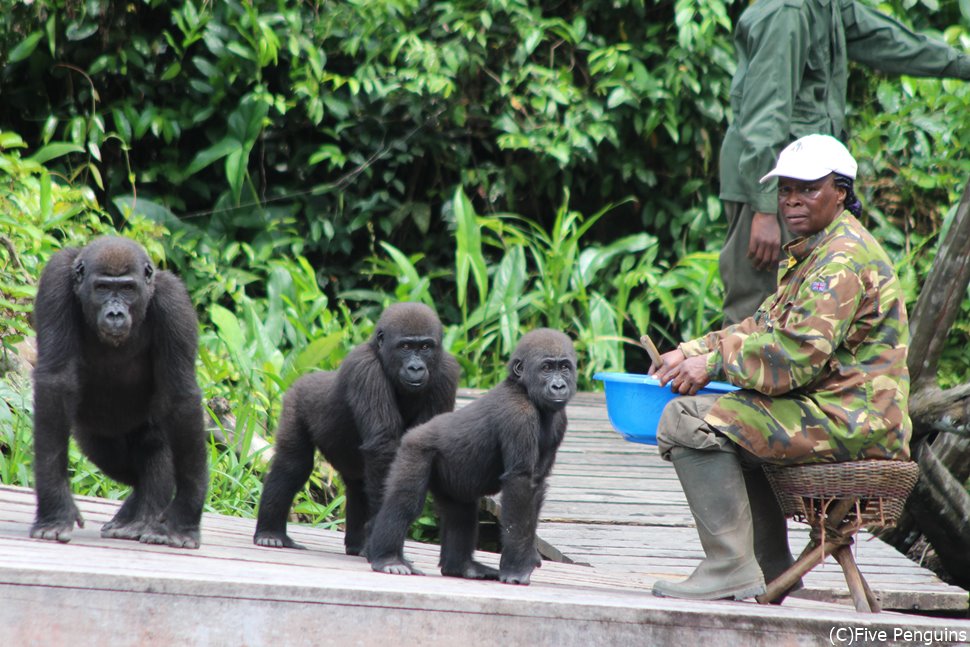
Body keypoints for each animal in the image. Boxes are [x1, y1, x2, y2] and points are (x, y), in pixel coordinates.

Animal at [32, 235, 208, 548]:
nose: (115, 313)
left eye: (127, 289)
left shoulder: (174, 303)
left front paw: (184, 519)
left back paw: (143, 516)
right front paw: (55, 511)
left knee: (154, 446)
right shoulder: (55, 279)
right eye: (102, 288)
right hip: (97, 435)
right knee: (113, 457)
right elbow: (56, 382)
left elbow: (180, 399)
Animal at [253, 302, 458, 556]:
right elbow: (384, 445)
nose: (416, 367)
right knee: (293, 465)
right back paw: (271, 533)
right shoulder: (365, 369)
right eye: (406, 346)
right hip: (295, 399)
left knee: (357, 483)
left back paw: (356, 544)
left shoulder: (447, 373)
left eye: (425, 347)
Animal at [364, 330, 576, 588]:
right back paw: (388, 558)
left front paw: (527, 556)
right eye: (546, 368)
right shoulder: (519, 415)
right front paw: (517, 567)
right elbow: (520, 483)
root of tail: (413, 433)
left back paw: (461, 567)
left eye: (564, 367)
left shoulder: (559, 421)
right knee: (404, 501)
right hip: (415, 449)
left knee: (461, 512)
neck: (523, 389)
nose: (559, 385)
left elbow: (535, 484)